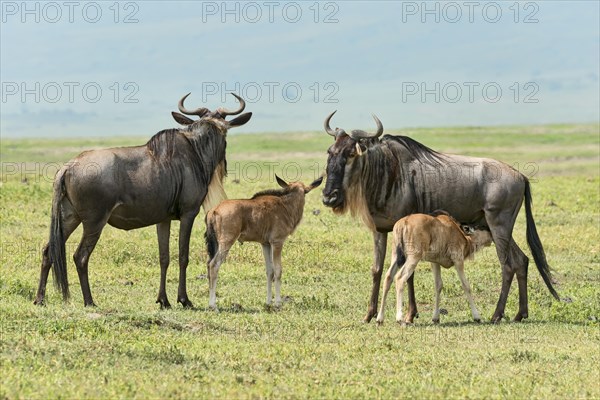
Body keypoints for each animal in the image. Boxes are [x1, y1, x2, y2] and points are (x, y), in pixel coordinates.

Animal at [204, 175, 322, 310]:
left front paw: (268, 302)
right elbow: (278, 271)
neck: (286, 205)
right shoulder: (277, 242)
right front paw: (278, 303)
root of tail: (214, 210)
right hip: (226, 242)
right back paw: (213, 305)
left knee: (208, 265)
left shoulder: (266, 244)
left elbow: (269, 271)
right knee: (214, 265)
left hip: (216, 245)